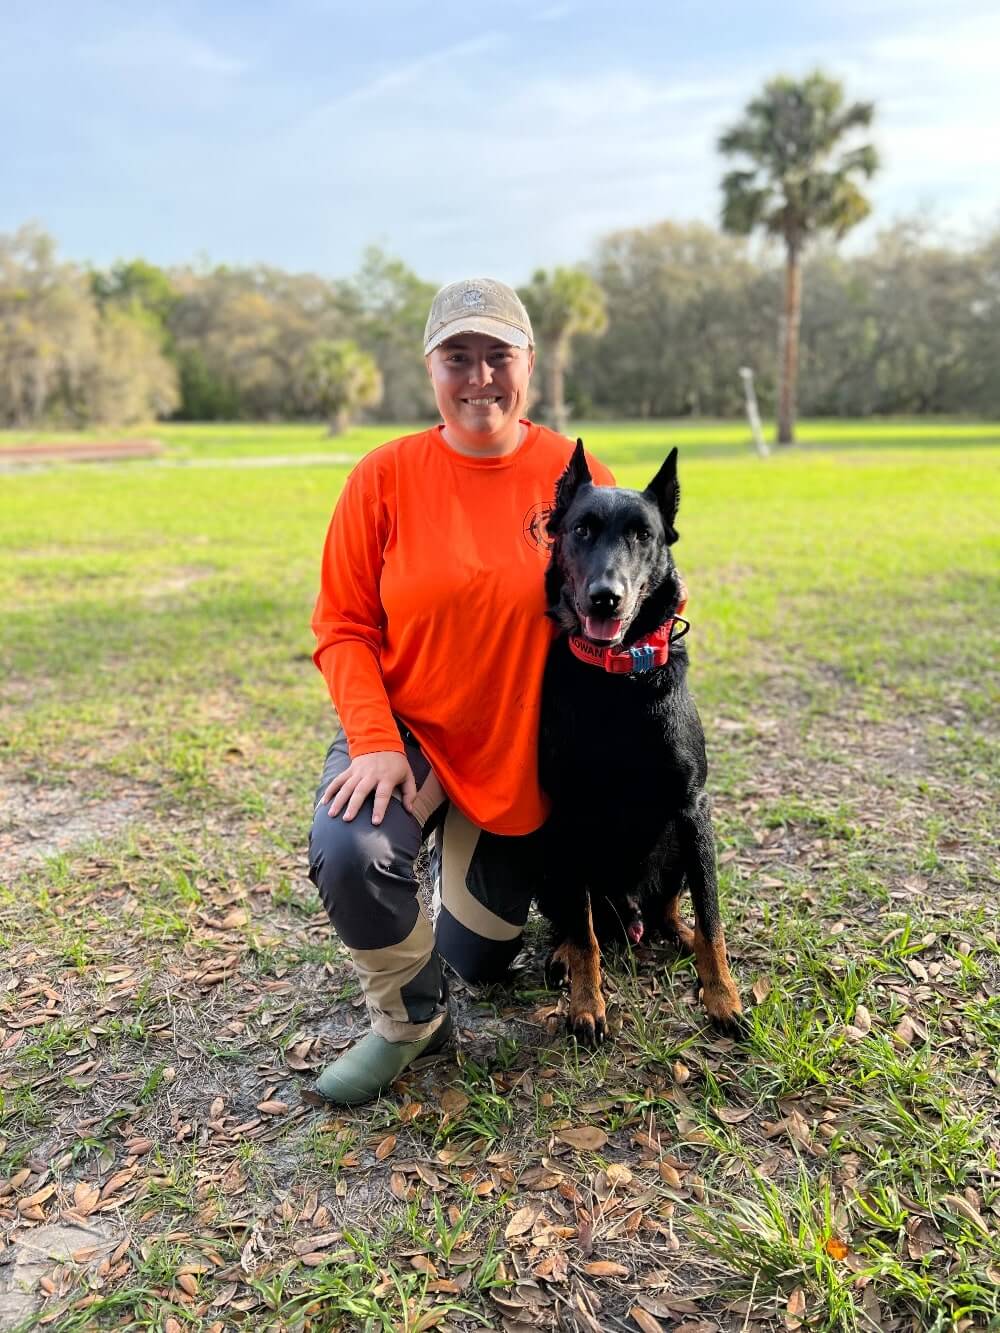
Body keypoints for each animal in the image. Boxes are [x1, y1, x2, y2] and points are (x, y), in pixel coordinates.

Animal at [541, 442, 746, 1045]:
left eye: (643, 535)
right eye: (581, 529)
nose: (605, 599)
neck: (617, 680)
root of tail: (627, 916)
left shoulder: (694, 806)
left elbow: (713, 916)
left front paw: (722, 997)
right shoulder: (566, 817)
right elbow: (584, 932)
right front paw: (587, 1003)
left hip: (684, 842)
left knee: (672, 908)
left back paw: (678, 934)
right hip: (547, 854)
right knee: (576, 921)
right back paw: (564, 954)